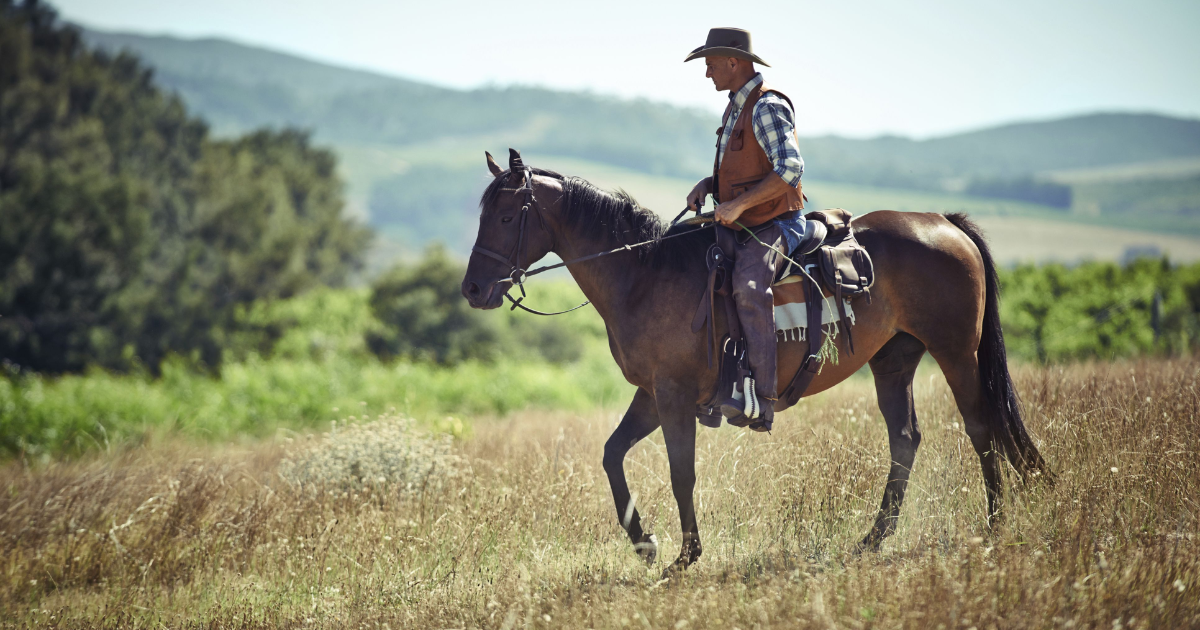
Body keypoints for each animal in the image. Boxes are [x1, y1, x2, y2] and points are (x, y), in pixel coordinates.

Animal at [461, 149, 1048, 574]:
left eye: (508, 215)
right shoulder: (652, 393)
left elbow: (681, 472)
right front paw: (646, 544)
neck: (645, 274)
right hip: (894, 361)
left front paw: (684, 556)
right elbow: (612, 455)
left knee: (980, 427)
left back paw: (994, 525)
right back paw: (872, 539)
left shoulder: (673, 395)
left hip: (955, 352)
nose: (472, 289)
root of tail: (943, 222)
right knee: (905, 439)